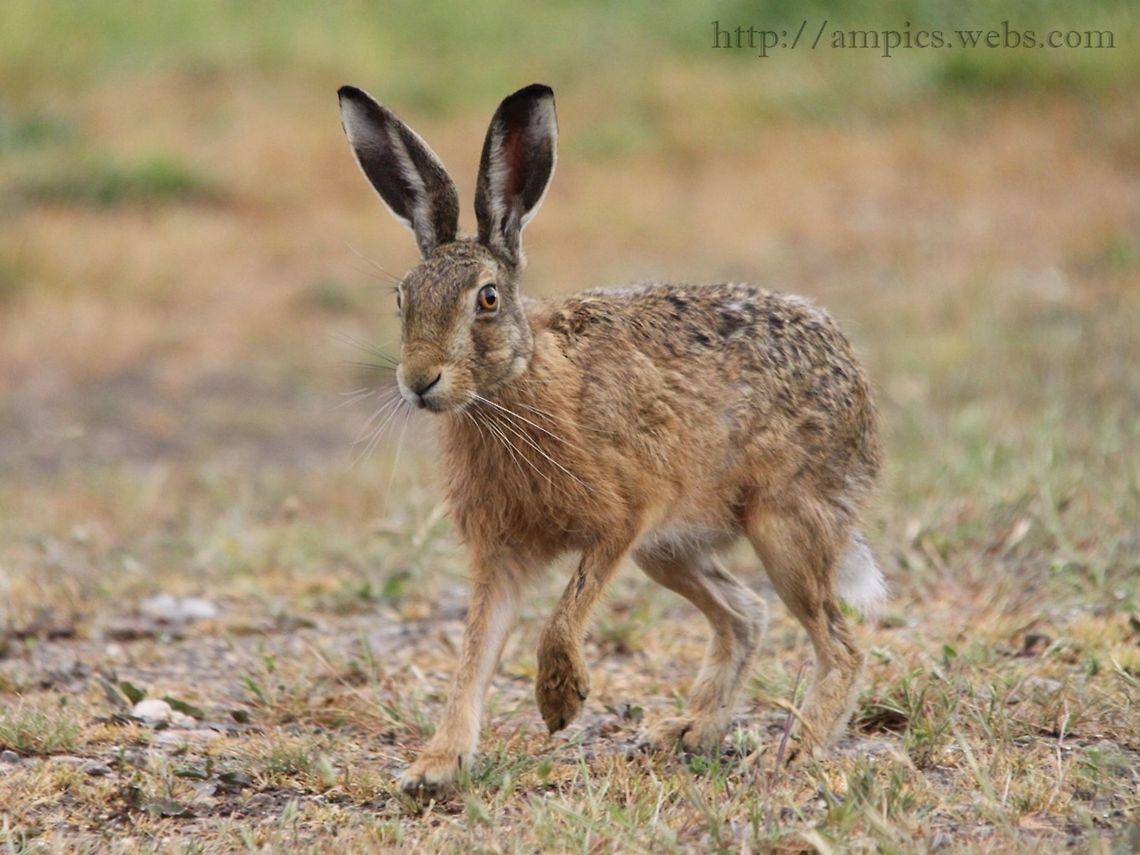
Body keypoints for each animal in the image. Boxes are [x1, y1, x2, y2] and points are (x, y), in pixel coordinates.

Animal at [337, 82, 884, 794]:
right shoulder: (500, 555)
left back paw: (791, 753)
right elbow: (475, 654)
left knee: (839, 644)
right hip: (671, 550)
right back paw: (689, 729)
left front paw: (560, 700)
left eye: (487, 299)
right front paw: (437, 764)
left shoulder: (623, 520)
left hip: (782, 526)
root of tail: (855, 379)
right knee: (745, 616)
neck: (513, 389)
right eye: (401, 299)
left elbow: (565, 615)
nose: (419, 380)